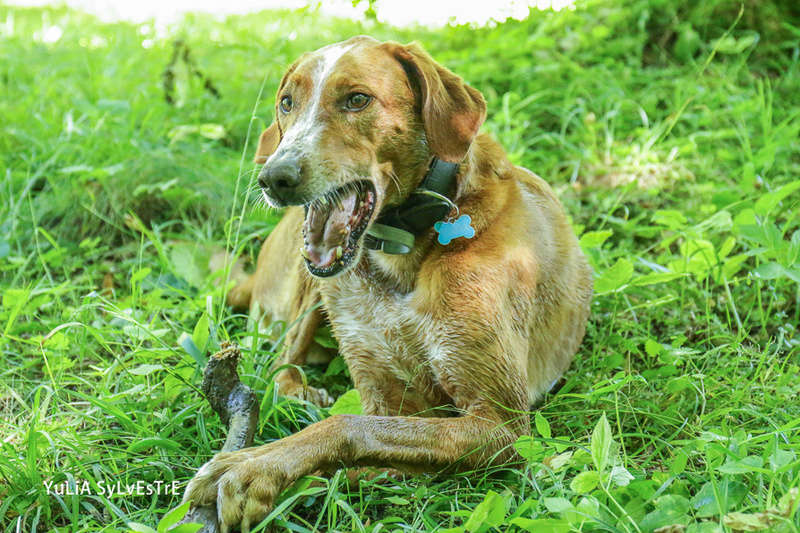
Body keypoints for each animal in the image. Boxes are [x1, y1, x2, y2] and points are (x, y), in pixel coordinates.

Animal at [184, 35, 592, 528]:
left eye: (357, 100)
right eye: (286, 102)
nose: (274, 178)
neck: (401, 252)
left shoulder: (502, 423)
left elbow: (349, 430)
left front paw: (253, 468)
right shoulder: (389, 397)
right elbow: (360, 433)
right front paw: (250, 463)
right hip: (308, 288)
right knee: (281, 365)